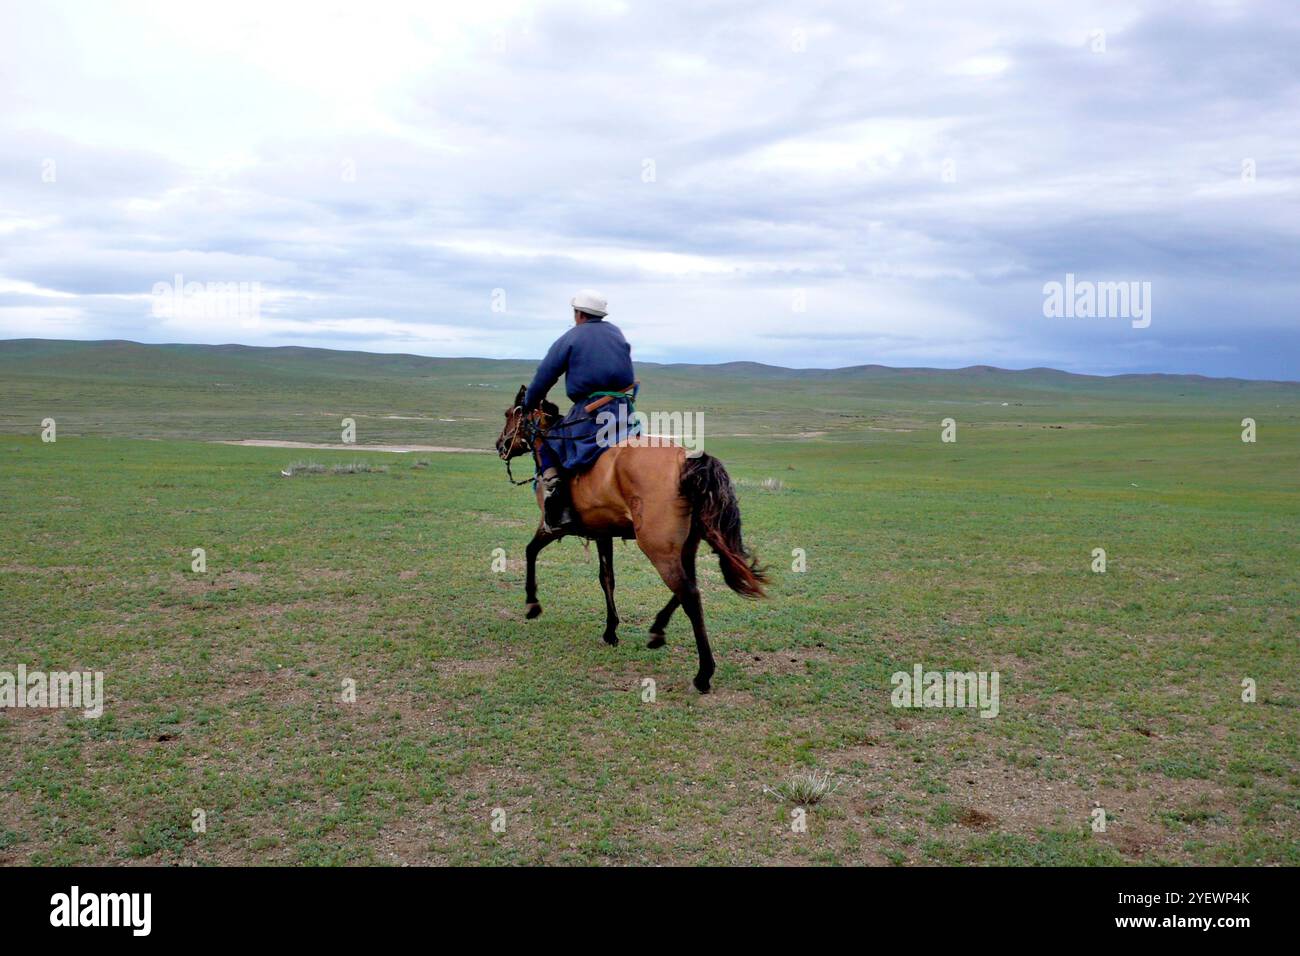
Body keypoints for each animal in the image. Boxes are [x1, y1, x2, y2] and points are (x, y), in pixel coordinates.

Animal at [493, 385, 759, 691]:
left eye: (509, 415)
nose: (499, 445)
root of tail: (686, 462)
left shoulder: (552, 527)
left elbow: (530, 551)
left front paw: (532, 604)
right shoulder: (602, 533)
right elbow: (607, 578)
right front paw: (611, 631)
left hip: (657, 547)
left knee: (689, 594)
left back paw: (703, 673)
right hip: (685, 545)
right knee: (688, 587)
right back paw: (657, 631)